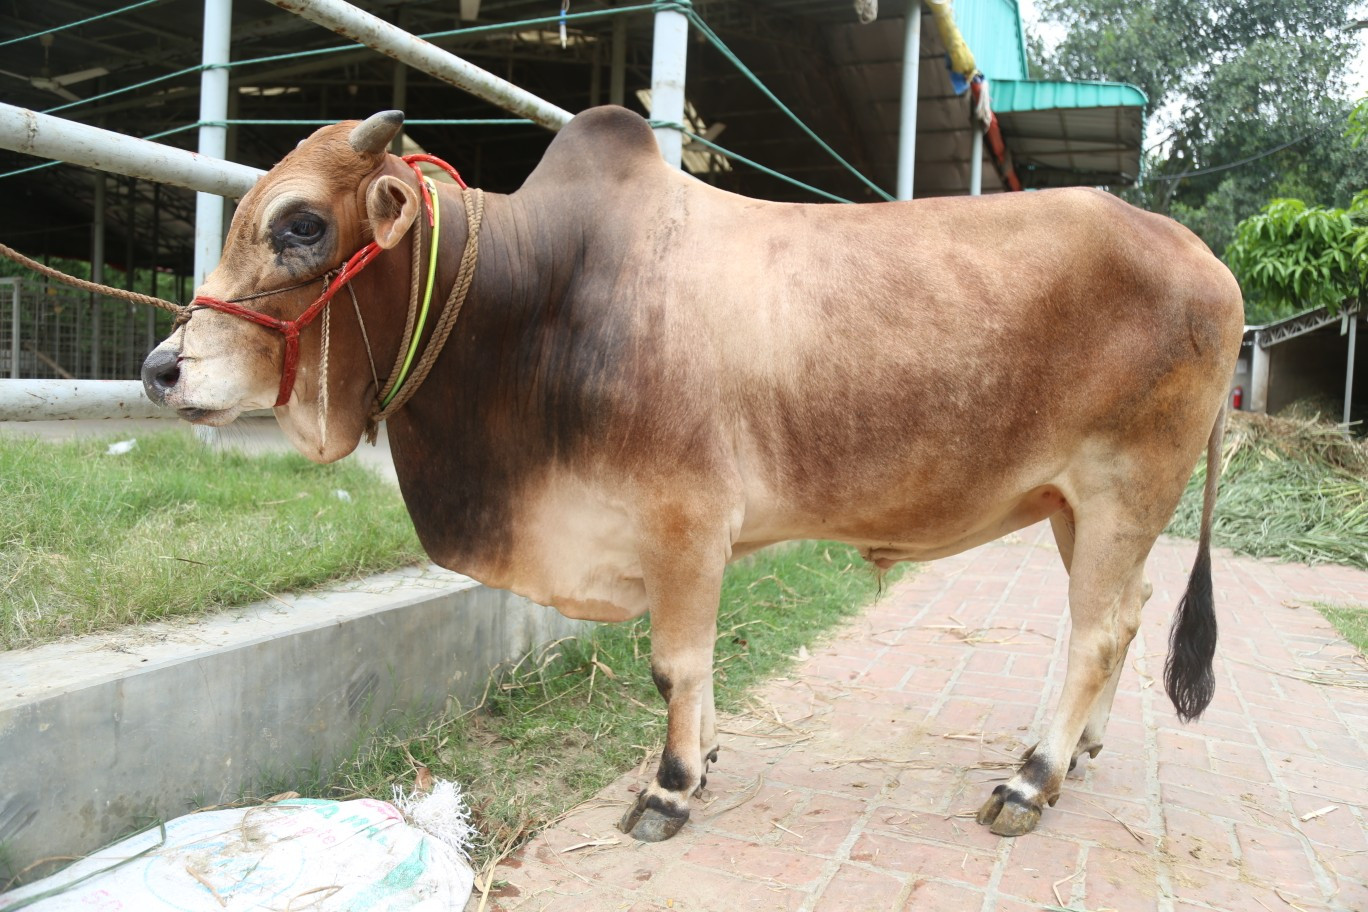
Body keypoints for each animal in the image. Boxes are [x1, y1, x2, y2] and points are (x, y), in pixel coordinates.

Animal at [141, 107, 1243, 842]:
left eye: (300, 224)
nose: (162, 368)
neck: (545, 294)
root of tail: (1210, 262)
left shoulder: (683, 521)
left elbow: (674, 663)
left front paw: (667, 789)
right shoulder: (692, 539)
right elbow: (701, 666)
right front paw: (703, 760)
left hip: (1123, 488)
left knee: (1097, 628)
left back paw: (1028, 780)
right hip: (1076, 507)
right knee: (1121, 614)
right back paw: (1078, 753)